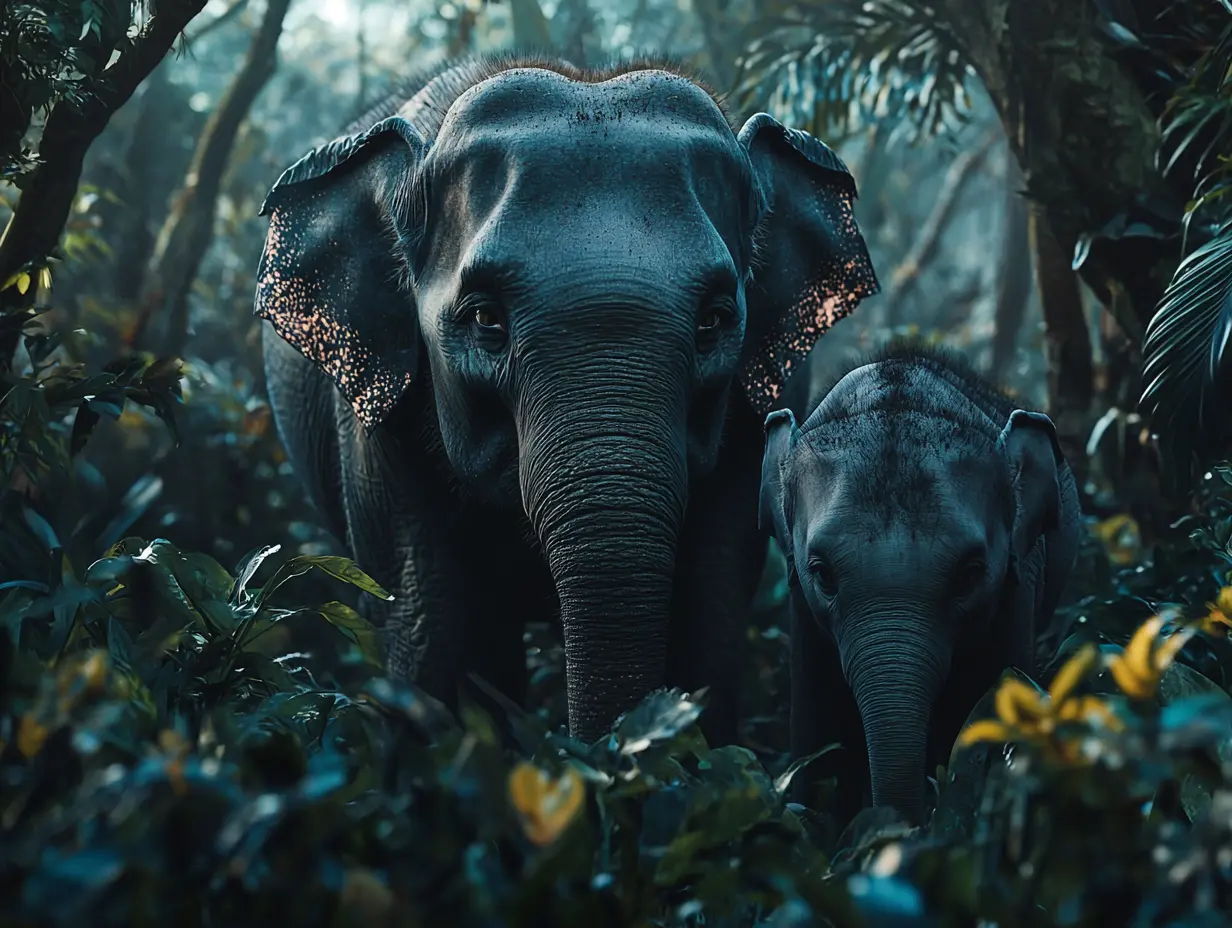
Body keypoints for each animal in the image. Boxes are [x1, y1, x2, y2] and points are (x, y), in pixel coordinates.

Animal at [253, 53, 879, 744]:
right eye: (485, 320)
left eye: (714, 321)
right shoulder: (375, 417)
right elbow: (432, 629)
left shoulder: (759, 410)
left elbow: (709, 616)